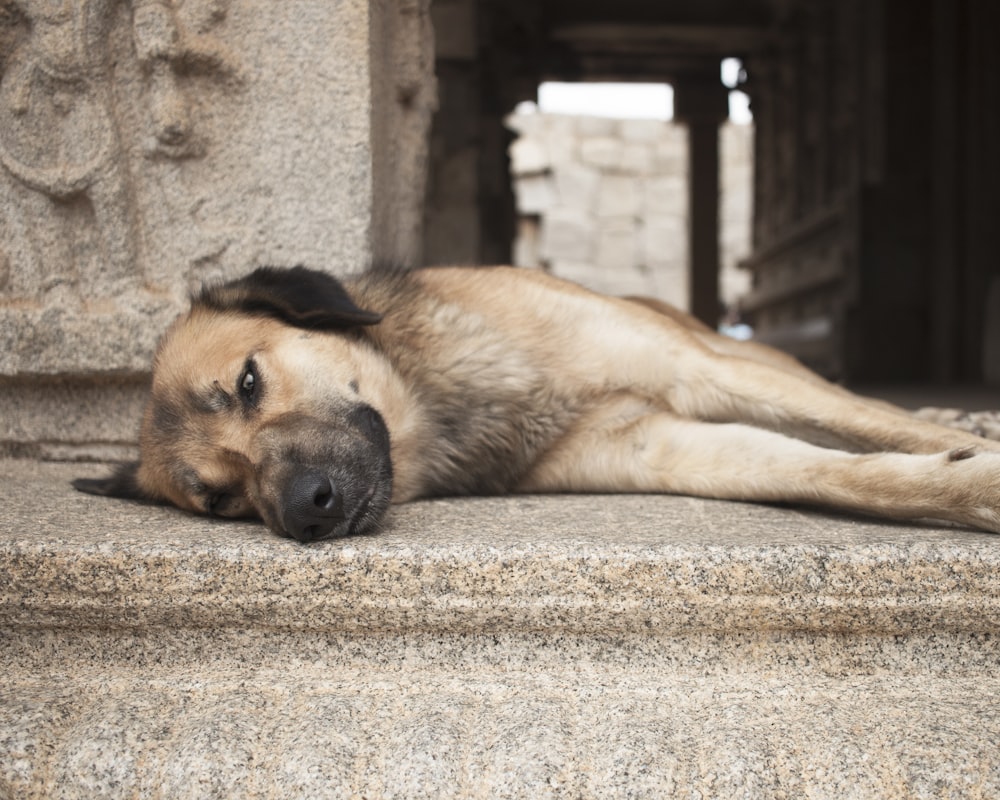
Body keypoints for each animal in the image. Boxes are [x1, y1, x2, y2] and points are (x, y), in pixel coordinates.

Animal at [72, 266, 1000, 540]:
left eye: (249, 382)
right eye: (220, 499)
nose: (306, 511)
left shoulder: (699, 371)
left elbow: (876, 424)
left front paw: (976, 460)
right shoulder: (663, 445)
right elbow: (837, 472)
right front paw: (964, 481)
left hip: (741, 356)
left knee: (859, 399)